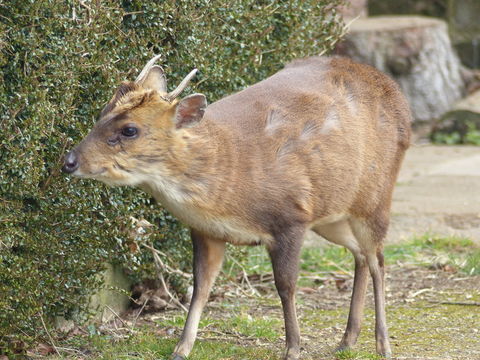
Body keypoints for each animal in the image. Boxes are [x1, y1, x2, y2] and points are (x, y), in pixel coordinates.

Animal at [62, 54, 410, 358]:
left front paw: (293, 348)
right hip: (332, 214)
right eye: (101, 113)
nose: (69, 161)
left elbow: (286, 286)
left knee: (378, 259)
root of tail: (399, 99)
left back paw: (383, 345)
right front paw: (181, 349)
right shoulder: (207, 230)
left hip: (376, 196)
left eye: (130, 129)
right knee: (361, 254)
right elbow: (200, 287)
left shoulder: (291, 217)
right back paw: (346, 341)